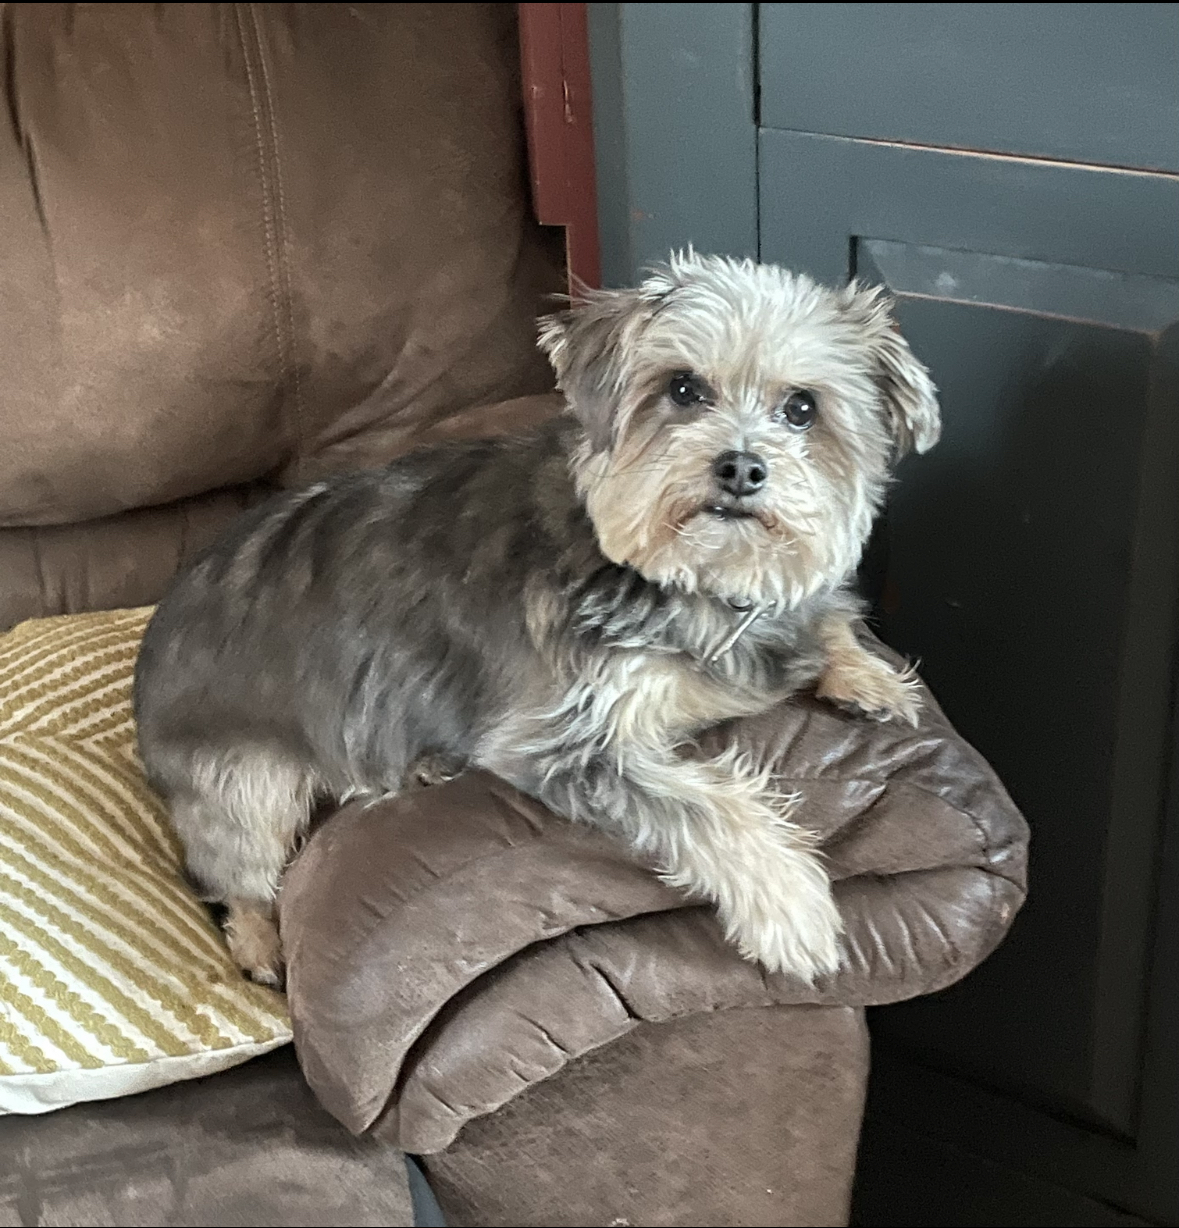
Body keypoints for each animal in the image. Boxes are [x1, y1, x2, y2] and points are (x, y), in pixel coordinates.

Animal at [133, 251, 940, 988]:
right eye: (683, 389)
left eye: (801, 408)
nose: (741, 468)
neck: (693, 582)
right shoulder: (564, 740)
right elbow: (708, 808)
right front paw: (790, 905)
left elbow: (827, 619)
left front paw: (866, 674)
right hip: (243, 784)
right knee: (236, 877)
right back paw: (260, 946)